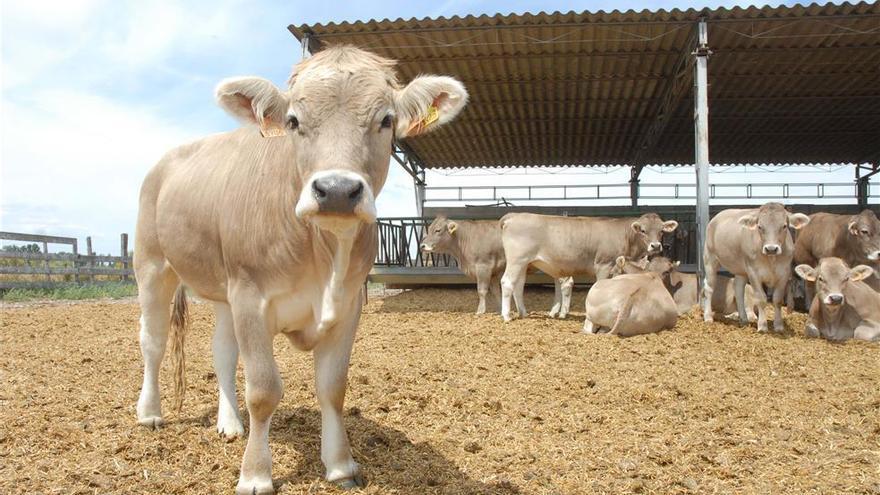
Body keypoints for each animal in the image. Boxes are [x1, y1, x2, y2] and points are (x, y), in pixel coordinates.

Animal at [131, 44, 468, 494]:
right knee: (153, 340)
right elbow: (263, 391)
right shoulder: (251, 297)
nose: (337, 190)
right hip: (153, 266)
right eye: (293, 121)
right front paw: (255, 474)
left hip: (223, 289)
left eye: (386, 120)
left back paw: (229, 423)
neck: (323, 255)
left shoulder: (347, 304)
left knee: (222, 353)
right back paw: (150, 412)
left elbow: (333, 387)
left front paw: (340, 465)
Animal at [418, 218, 576, 318]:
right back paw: (554, 311)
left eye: (438, 230)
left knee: (566, 283)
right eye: (429, 229)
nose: (422, 246)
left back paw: (563, 313)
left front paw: (480, 311)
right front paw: (502, 309)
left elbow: (482, 291)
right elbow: (495, 292)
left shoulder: (483, 267)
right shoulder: (494, 272)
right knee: (559, 284)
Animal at [498, 212, 676, 322]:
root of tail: (514, 216)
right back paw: (506, 316)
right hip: (516, 260)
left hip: (524, 263)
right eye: (643, 230)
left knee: (518, 285)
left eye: (661, 231)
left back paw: (523, 313)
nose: (655, 246)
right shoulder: (604, 265)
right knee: (507, 282)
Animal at [700, 202, 812, 334]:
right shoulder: (753, 273)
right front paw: (762, 326)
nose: (771, 249)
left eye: (784, 226)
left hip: (741, 269)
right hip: (710, 259)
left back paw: (743, 319)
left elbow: (777, 299)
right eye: (759, 226)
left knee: (738, 289)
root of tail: (717, 217)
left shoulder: (784, 273)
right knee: (709, 287)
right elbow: (761, 298)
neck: (771, 260)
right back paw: (708, 316)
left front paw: (779, 326)